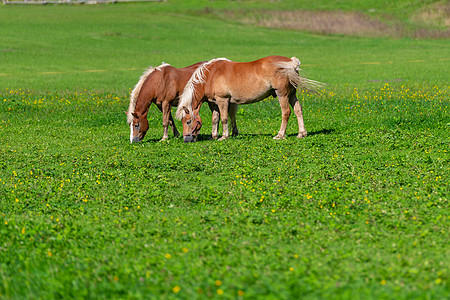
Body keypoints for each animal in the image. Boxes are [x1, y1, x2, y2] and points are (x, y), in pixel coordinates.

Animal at [176, 55, 320, 142]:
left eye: (188, 122)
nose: (186, 140)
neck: (210, 75)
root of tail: (290, 63)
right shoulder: (214, 103)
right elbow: (215, 119)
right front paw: (214, 136)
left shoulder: (223, 100)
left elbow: (224, 119)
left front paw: (224, 136)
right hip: (292, 94)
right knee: (298, 110)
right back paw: (302, 133)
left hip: (282, 94)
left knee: (286, 112)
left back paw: (280, 135)